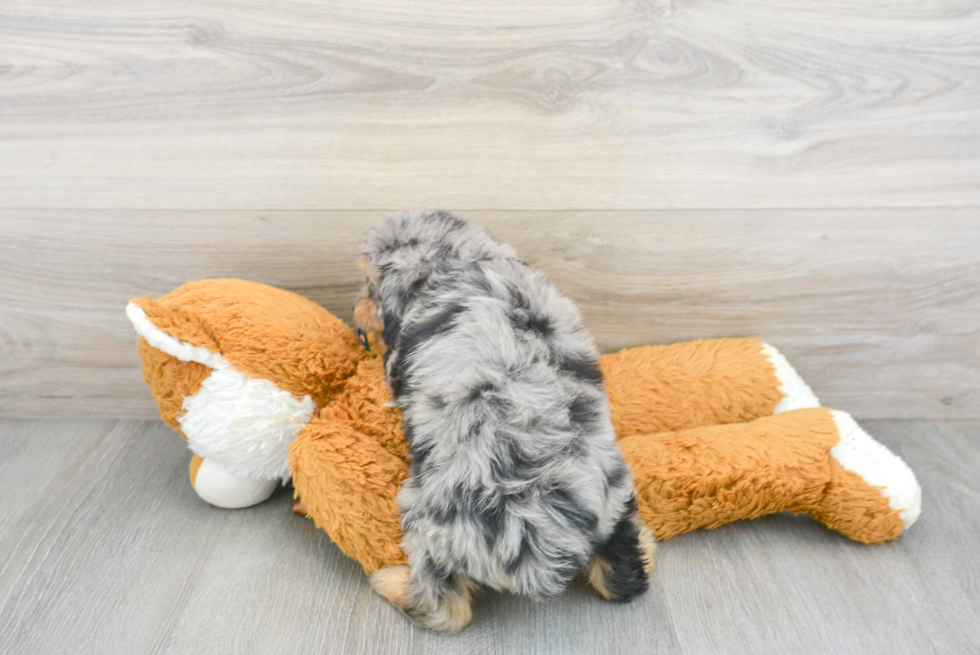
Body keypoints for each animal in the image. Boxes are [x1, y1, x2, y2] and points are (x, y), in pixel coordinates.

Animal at [350, 213, 652, 632]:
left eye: (370, 287)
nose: (355, 308)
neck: (459, 259)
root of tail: (543, 543)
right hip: (616, 501)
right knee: (624, 574)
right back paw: (647, 547)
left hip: (429, 525)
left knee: (445, 608)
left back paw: (390, 582)